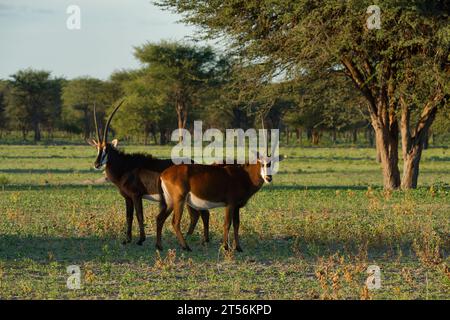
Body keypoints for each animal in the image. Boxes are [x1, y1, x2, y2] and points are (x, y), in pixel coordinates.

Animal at [88, 101, 211, 246]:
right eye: (97, 149)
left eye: (106, 149)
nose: (96, 164)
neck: (125, 167)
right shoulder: (127, 198)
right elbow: (128, 217)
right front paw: (127, 239)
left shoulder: (136, 195)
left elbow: (139, 216)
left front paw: (141, 239)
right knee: (196, 215)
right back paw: (189, 237)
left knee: (203, 214)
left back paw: (202, 240)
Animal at [155, 153, 284, 252]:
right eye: (262, 163)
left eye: (272, 163)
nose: (268, 178)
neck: (244, 175)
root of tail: (163, 174)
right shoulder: (230, 204)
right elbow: (227, 224)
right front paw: (226, 247)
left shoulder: (236, 207)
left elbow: (236, 225)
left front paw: (238, 248)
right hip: (179, 201)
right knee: (175, 222)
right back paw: (186, 247)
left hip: (170, 203)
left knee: (160, 218)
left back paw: (159, 246)